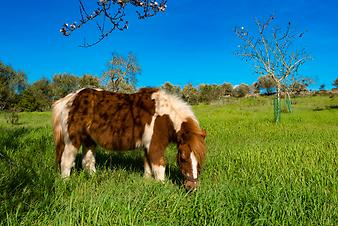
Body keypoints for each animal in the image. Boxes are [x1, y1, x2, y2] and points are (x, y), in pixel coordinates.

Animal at [52, 87, 206, 190]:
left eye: (201, 159)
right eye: (182, 157)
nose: (192, 187)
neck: (164, 116)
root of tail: (69, 99)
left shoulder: (147, 147)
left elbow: (148, 167)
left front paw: (147, 183)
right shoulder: (155, 146)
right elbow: (159, 167)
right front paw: (162, 187)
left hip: (89, 141)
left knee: (88, 163)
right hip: (72, 141)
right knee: (66, 162)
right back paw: (66, 183)